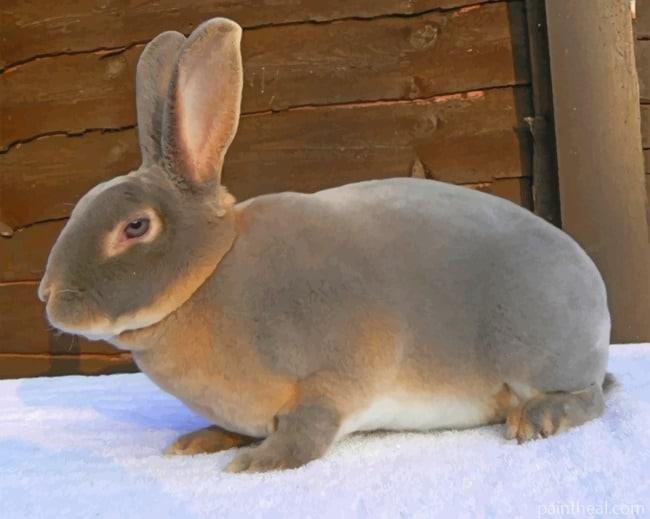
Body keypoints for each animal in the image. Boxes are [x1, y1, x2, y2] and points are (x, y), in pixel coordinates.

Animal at [38, 18, 611, 473]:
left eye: (135, 227)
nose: (47, 294)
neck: (213, 273)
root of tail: (596, 293)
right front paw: (198, 442)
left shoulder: (333, 375)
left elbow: (308, 428)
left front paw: (257, 462)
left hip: (537, 353)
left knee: (590, 398)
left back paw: (536, 419)